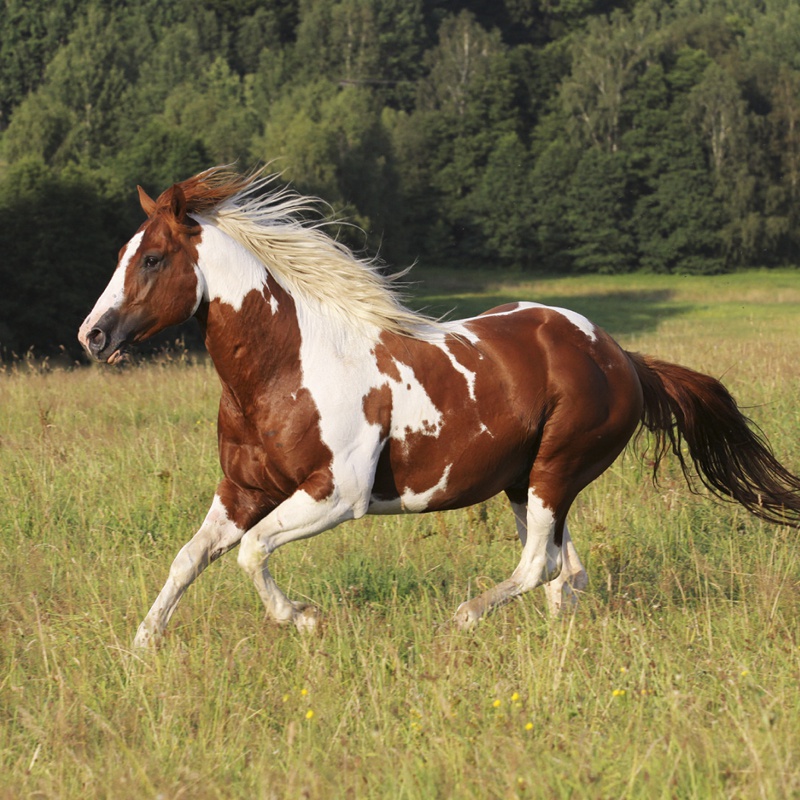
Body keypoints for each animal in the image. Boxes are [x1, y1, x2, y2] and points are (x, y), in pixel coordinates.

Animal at [79, 166, 800, 648]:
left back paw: (464, 619)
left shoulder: (337, 495)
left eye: (153, 258)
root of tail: (621, 356)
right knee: (567, 572)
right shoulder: (242, 490)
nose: (93, 336)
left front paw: (305, 618)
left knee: (540, 565)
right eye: (122, 254)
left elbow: (253, 553)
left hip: (556, 471)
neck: (286, 367)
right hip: (522, 481)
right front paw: (142, 645)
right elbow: (189, 557)